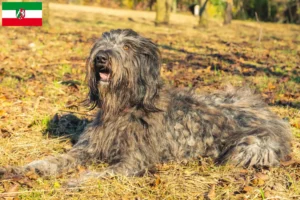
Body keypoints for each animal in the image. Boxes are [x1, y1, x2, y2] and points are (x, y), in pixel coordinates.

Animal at [1, 28, 292, 185]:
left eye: (128, 47)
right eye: (102, 43)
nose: (101, 58)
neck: (124, 108)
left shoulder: (134, 161)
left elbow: (104, 173)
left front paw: (78, 181)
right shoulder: (89, 148)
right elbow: (57, 159)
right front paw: (27, 169)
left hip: (251, 147)